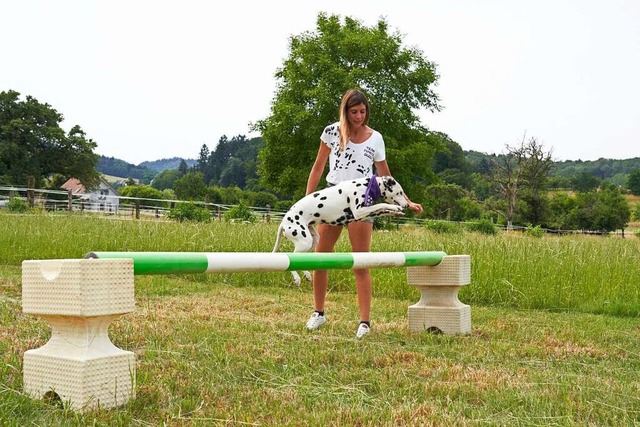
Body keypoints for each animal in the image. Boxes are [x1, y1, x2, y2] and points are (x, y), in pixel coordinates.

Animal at [272, 176, 408, 286]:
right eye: (400, 192)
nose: (407, 205)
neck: (366, 185)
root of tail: (283, 223)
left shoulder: (364, 214)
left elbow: (382, 209)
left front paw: (396, 211)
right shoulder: (359, 211)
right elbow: (381, 205)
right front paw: (395, 207)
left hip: (313, 241)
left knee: (300, 260)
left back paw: (307, 275)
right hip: (304, 241)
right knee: (292, 258)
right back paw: (297, 278)